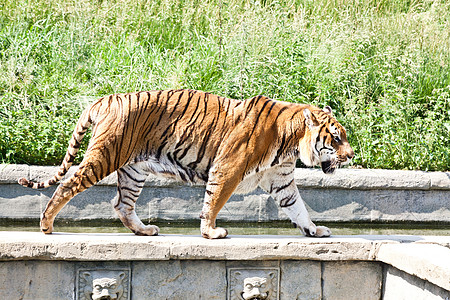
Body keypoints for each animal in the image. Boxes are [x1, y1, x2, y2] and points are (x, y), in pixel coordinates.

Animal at [18, 89, 356, 239]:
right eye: (337, 138)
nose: (352, 155)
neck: (291, 142)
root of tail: (106, 98)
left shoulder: (281, 180)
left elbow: (297, 207)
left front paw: (314, 230)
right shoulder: (227, 170)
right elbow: (213, 202)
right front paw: (210, 232)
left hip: (133, 170)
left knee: (122, 204)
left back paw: (144, 230)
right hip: (106, 156)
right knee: (67, 185)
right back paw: (46, 224)